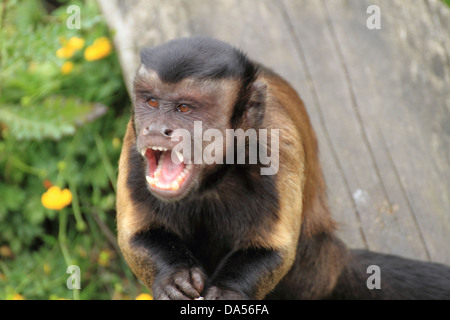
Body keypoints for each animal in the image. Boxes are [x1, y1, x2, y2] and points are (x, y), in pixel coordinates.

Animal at [117, 37, 450, 300]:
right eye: (151, 102)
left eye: (185, 108)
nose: (156, 128)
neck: (215, 176)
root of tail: (333, 260)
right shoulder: (132, 141)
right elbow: (137, 235)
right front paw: (174, 276)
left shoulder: (276, 145)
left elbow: (275, 250)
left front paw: (229, 292)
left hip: (312, 271)